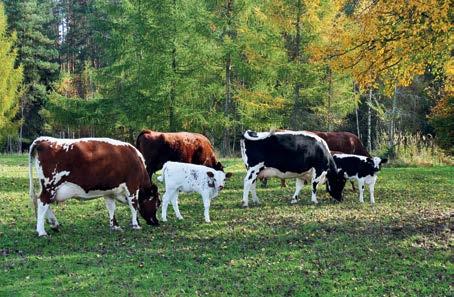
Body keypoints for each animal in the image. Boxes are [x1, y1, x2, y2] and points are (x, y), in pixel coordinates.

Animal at [28, 136, 161, 236]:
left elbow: (111, 208)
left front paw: (115, 226)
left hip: (49, 188)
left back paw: (54, 224)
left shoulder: (109, 191)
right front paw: (136, 225)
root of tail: (43, 140)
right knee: (42, 202)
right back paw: (41, 231)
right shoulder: (132, 186)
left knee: (43, 202)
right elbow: (134, 206)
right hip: (50, 186)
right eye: (157, 203)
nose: (156, 222)